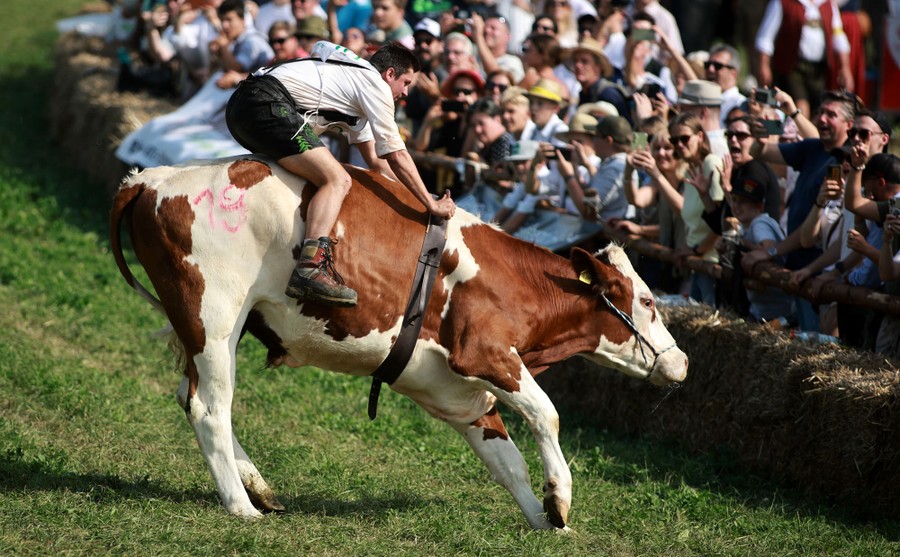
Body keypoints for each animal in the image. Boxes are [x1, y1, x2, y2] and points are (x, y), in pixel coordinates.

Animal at [110, 156, 688, 530]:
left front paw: (543, 520)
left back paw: (260, 489)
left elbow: (506, 461)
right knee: (211, 408)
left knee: (193, 399)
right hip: (213, 319)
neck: (511, 280)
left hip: (207, 329)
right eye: (649, 300)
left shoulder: (457, 392)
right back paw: (241, 506)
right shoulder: (485, 354)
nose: (682, 361)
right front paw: (560, 499)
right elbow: (547, 414)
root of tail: (153, 178)